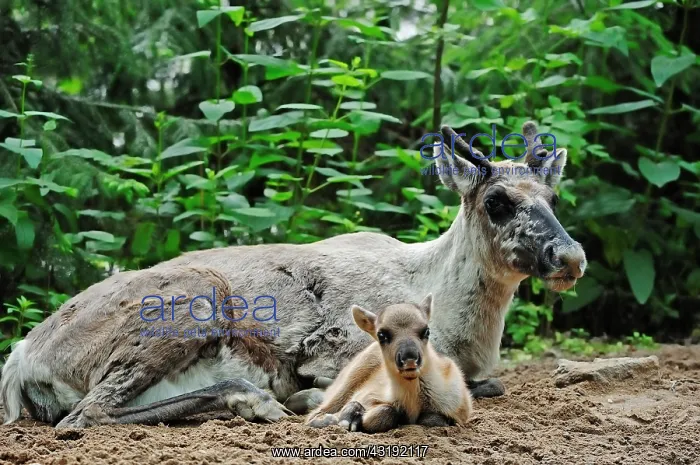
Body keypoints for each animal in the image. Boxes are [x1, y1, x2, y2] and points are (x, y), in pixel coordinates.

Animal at [306, 294, 473, 433]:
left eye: (426, 331)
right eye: (381, 334)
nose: (409, 359)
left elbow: (433, 419)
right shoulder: (368, 393)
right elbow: (385, 411)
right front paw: (350, 418)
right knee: (315, 413)